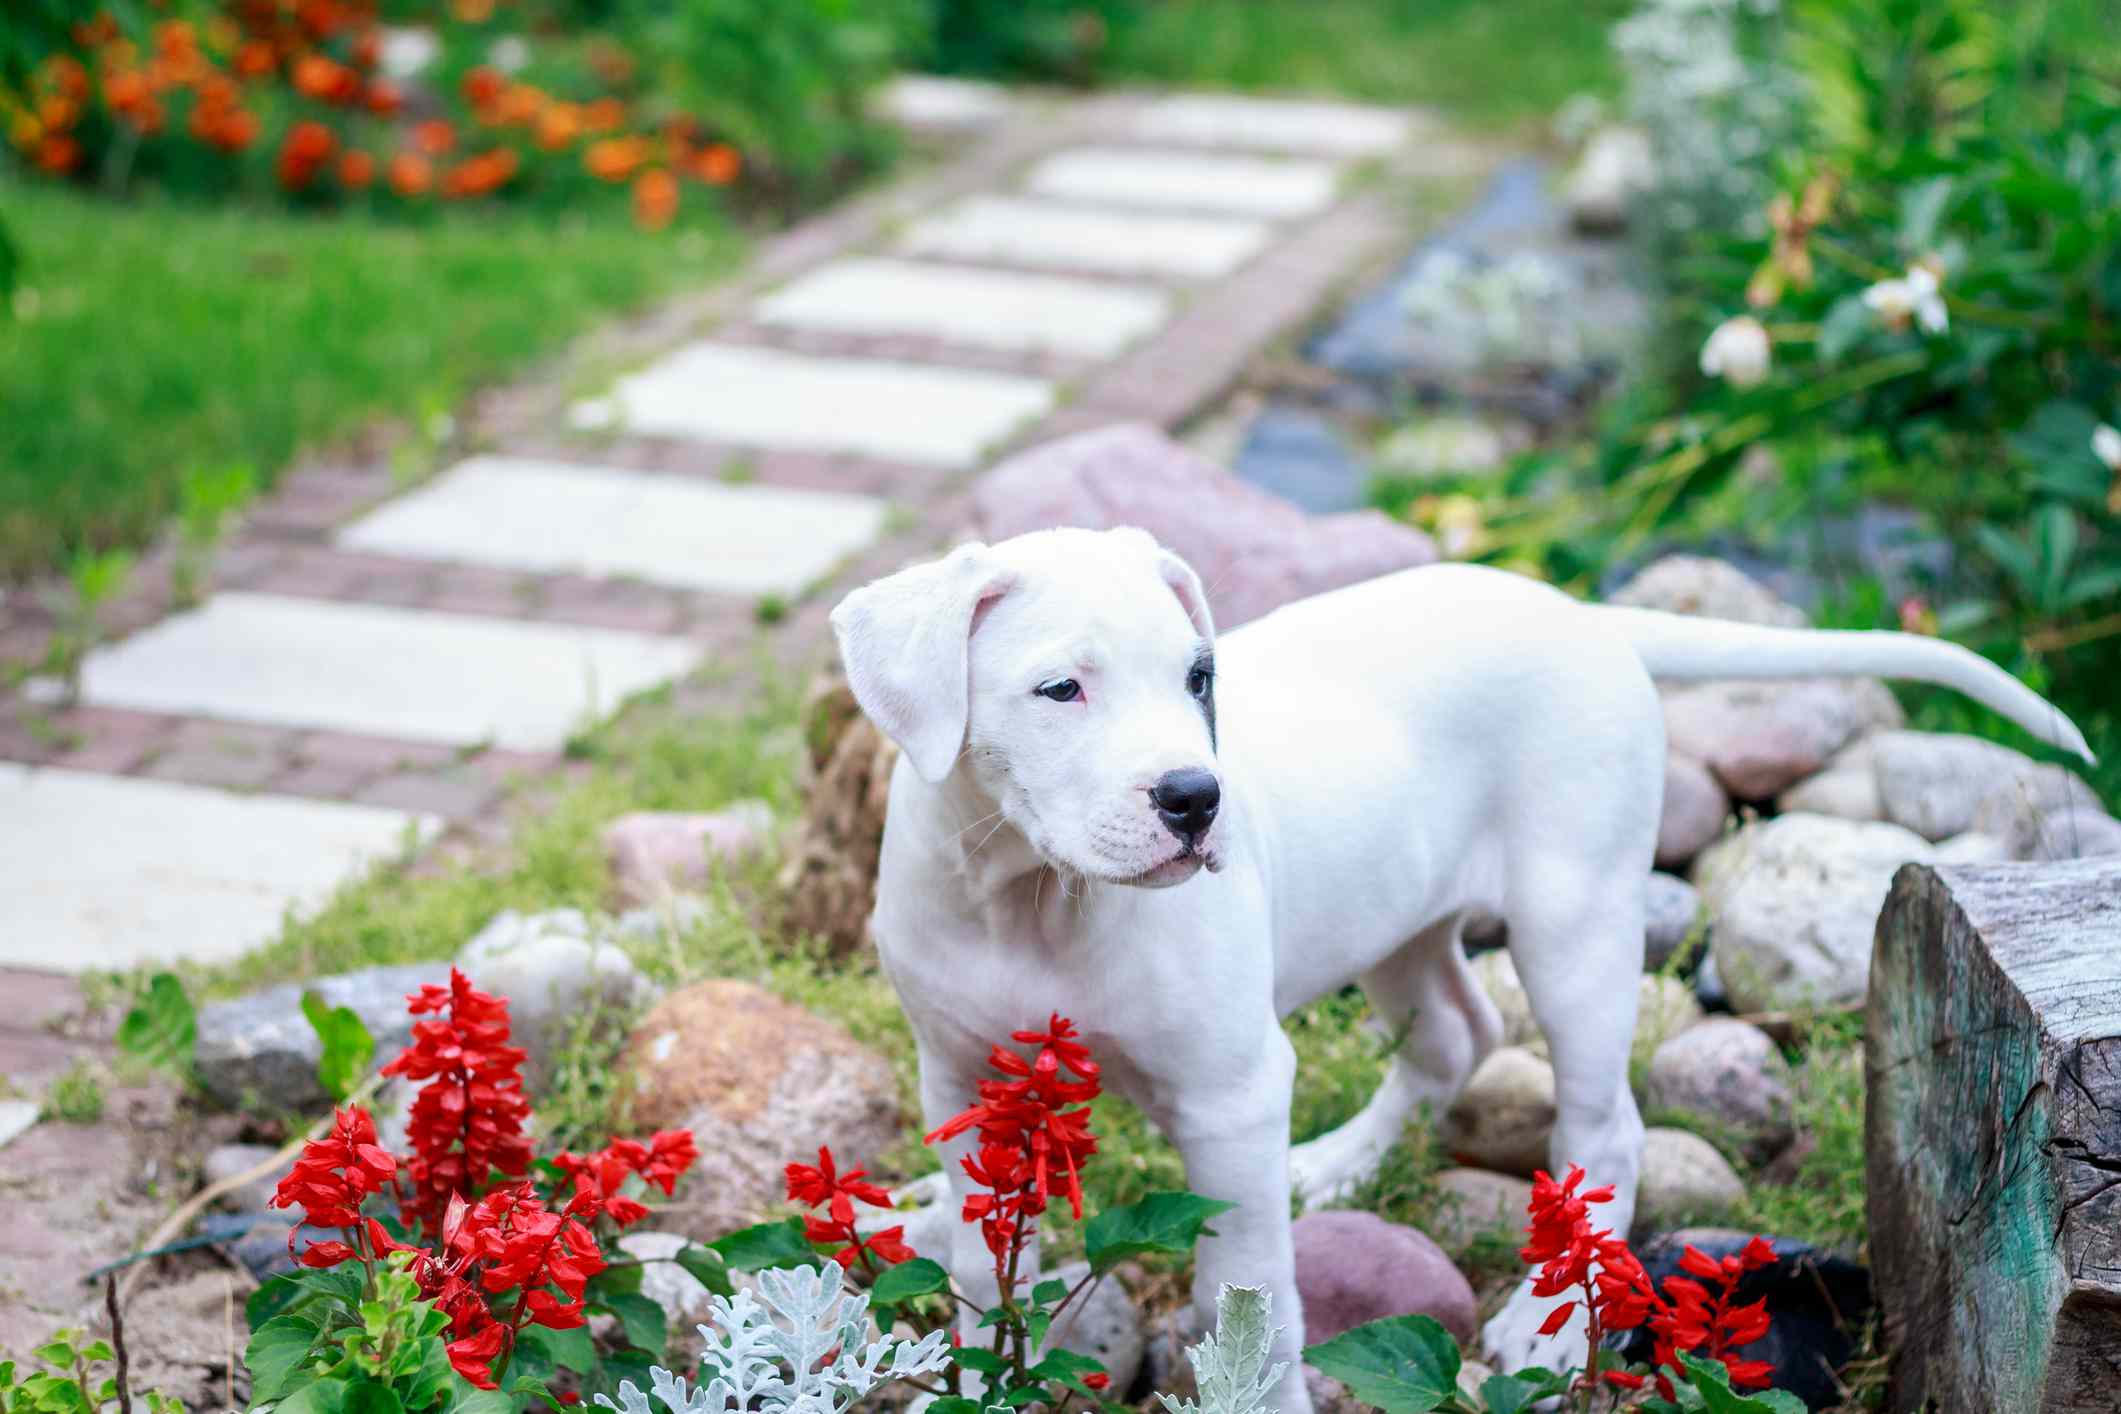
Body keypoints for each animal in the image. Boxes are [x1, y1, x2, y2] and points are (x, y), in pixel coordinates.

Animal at [831, 527, 2087, 1407]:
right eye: (1060, 689)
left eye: (1197, 677)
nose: (1197, 798)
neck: (1030, 894)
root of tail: (1583, 613)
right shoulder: (964, 1083)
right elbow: (990, 1257)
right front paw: (987, 1362)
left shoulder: (1229, 1097)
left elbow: (1252, 1294)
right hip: (1395, 915)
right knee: (1453, 1034)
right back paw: (1334, 1167)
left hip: (1575, 925)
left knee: (1602, 1126)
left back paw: (1541, 1323)